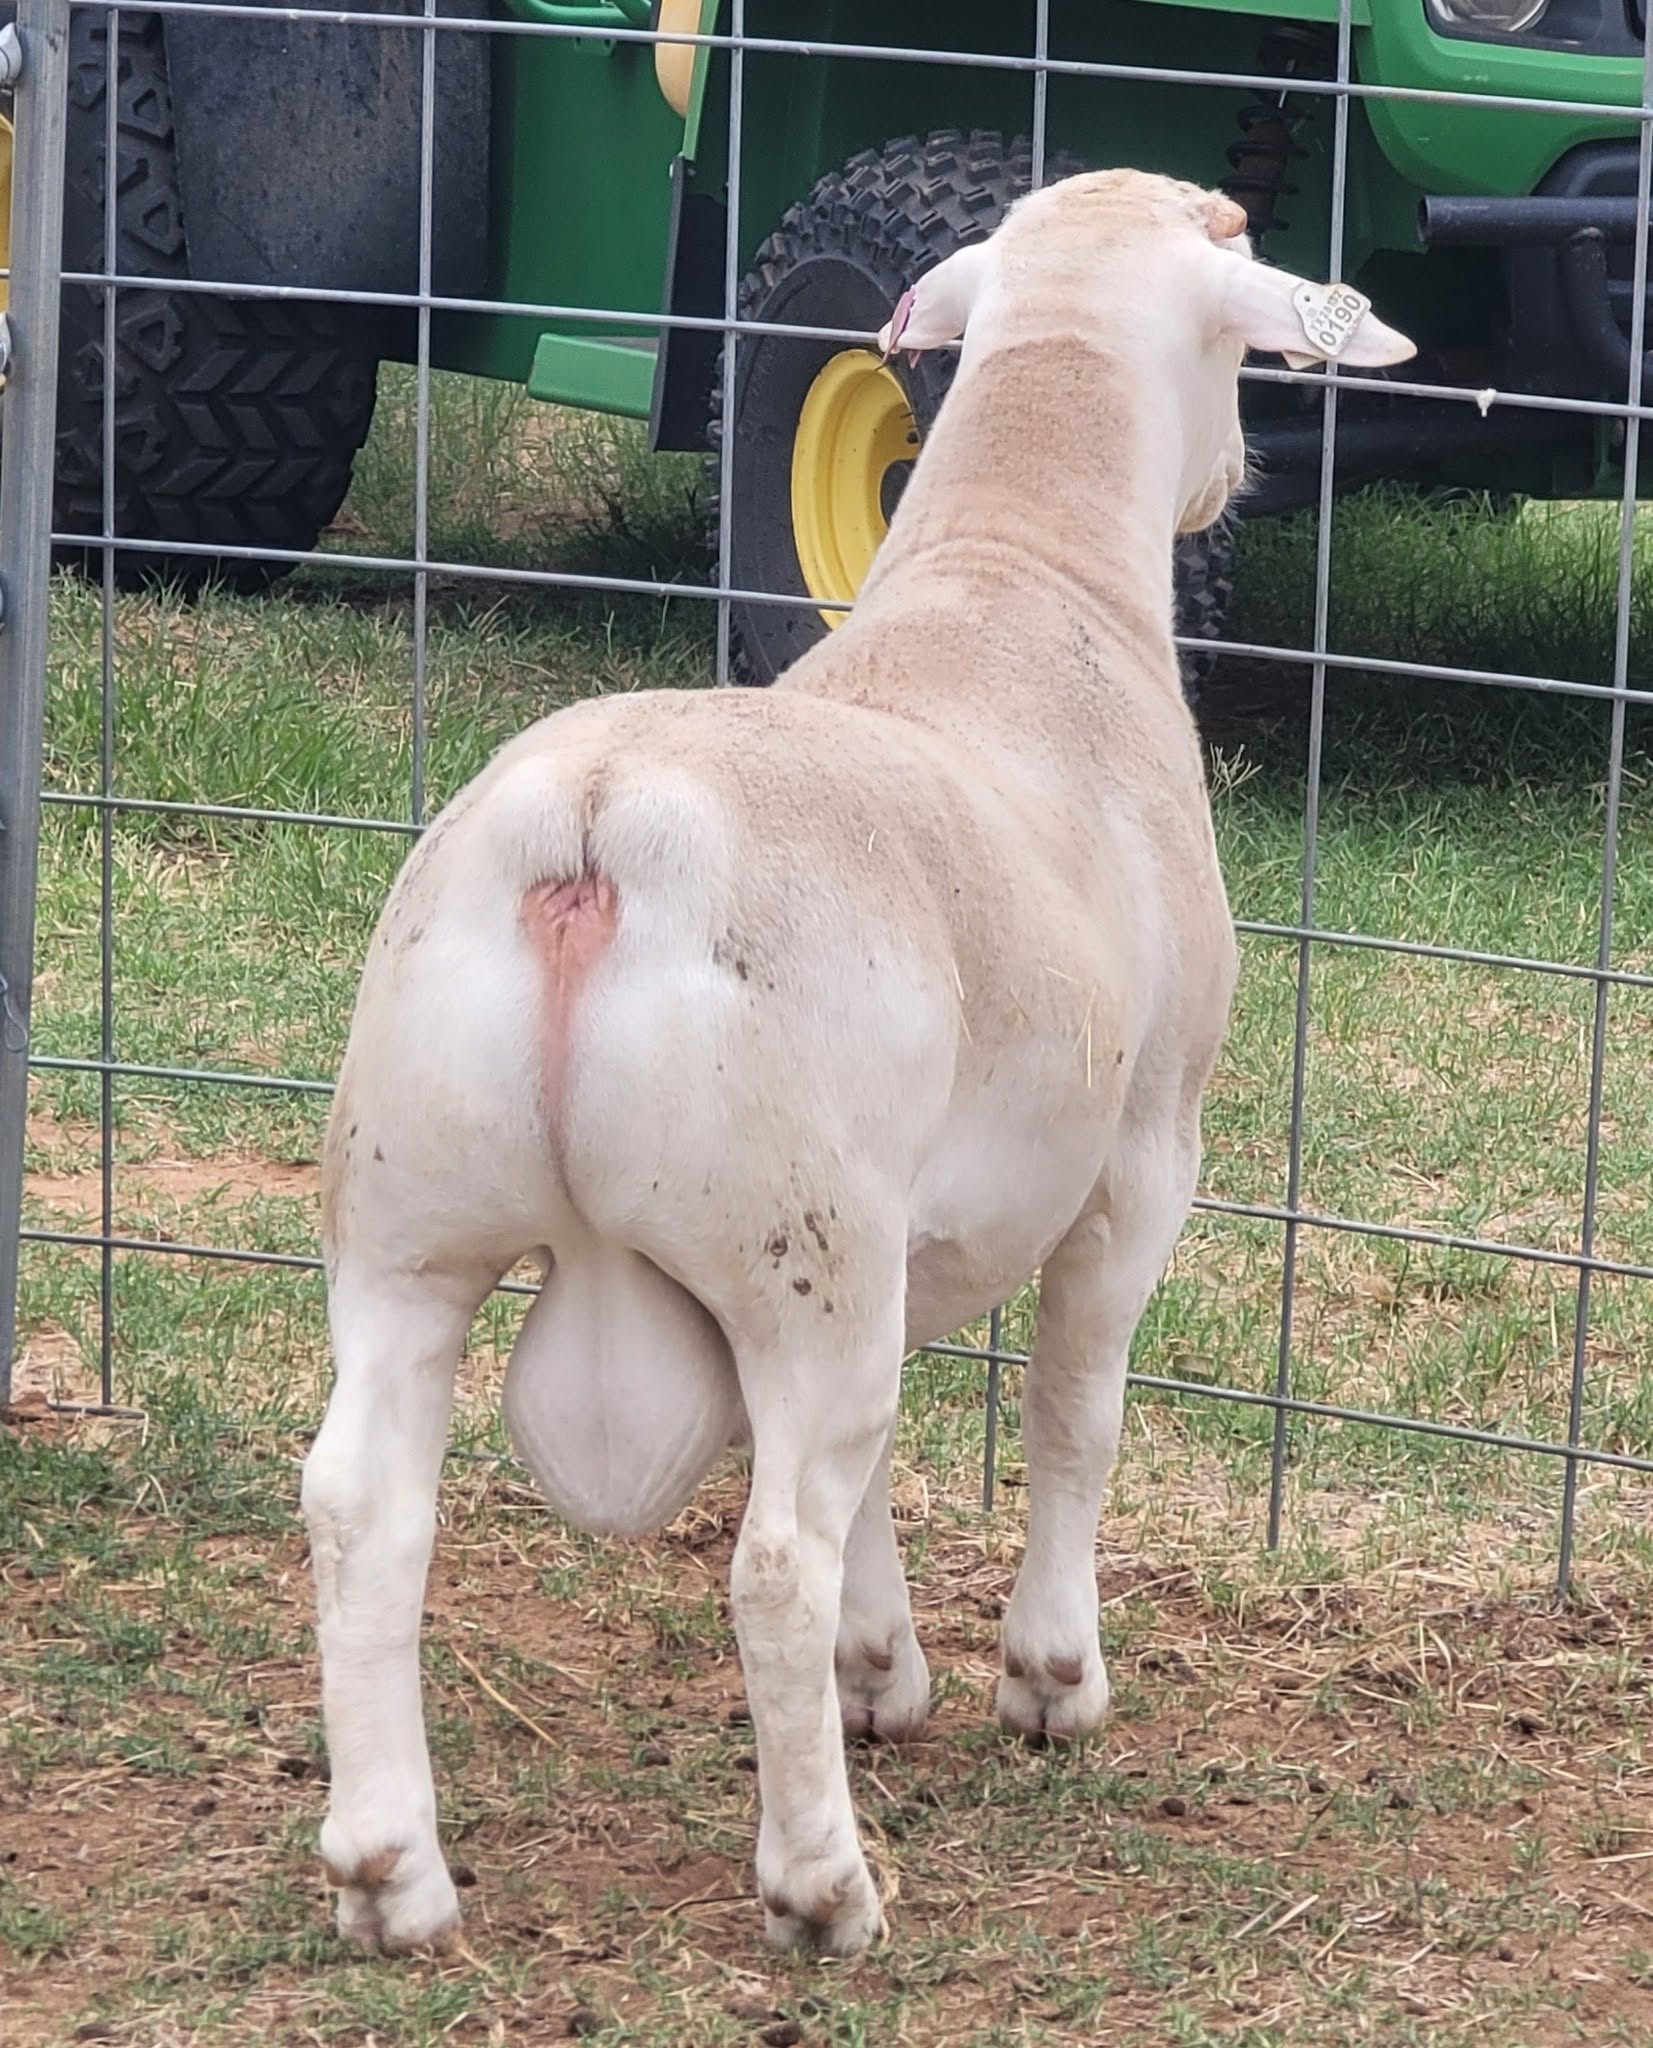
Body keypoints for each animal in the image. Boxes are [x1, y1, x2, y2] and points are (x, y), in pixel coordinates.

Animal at [301, 168, 1415, 1961]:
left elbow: (887, 1458)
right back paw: (821, 1885)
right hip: (792, 1244)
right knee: (768, 1560)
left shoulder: (902, 1240)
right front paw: (1047, 1678)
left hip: (418, 1214)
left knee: (363, 1506)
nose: (1233, 480)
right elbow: (1073, 1419)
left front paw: (883, 1674)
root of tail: (597, 829)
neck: (1018, 579)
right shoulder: (1137, 1168)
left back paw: (393, 1869)